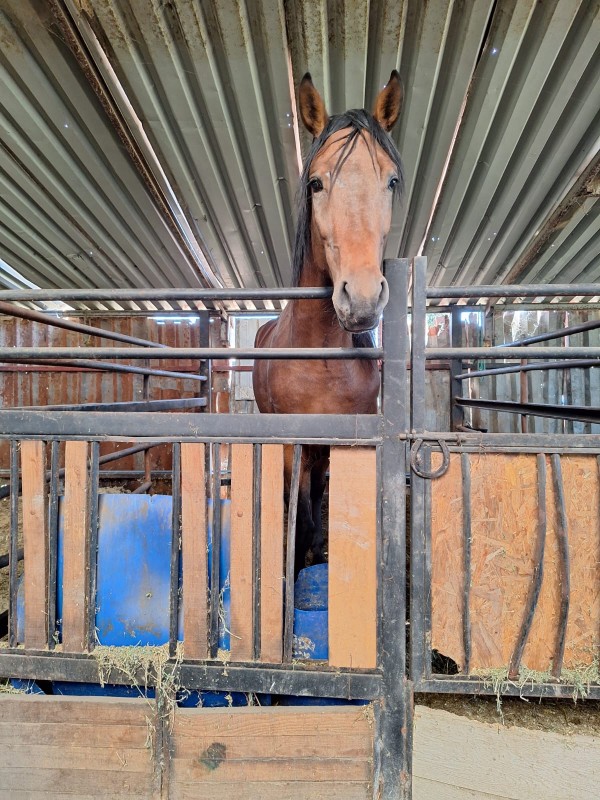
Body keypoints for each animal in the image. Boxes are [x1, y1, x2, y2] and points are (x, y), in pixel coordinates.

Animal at [252, 71, 404, 578]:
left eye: (391, 181)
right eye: (316, 183)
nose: (361, 298)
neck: (320, 359)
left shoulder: (347, 443)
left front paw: (319, 553)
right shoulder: (293, 443)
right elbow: (298, 517)